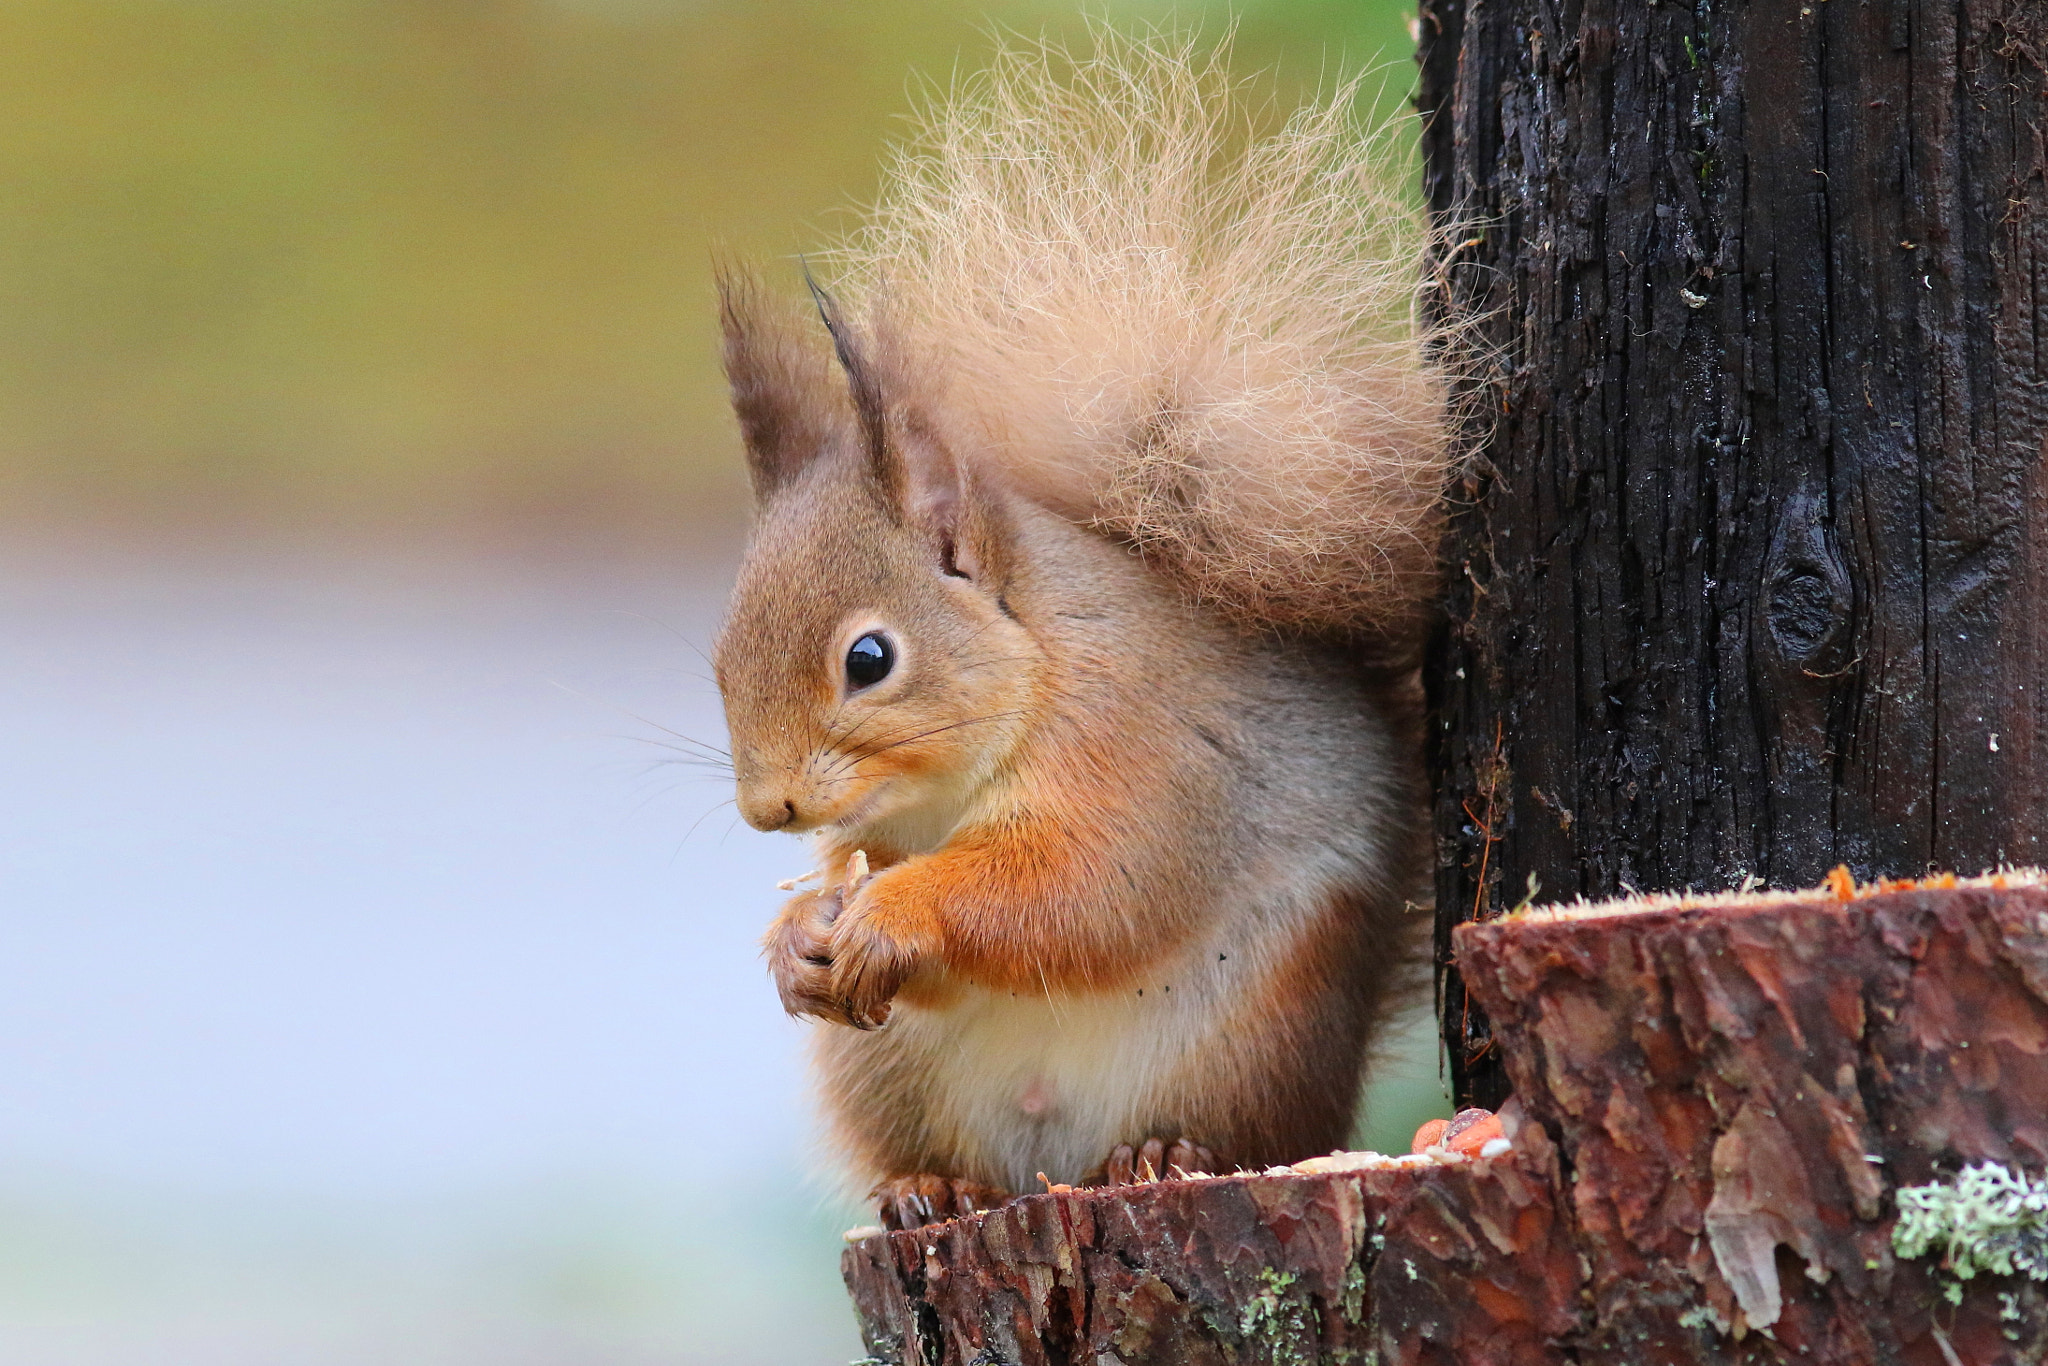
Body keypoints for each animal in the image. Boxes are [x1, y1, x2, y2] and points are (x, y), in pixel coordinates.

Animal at [710, 31, 1454, 1231]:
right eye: (720, 660)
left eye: (869, 659)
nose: (767, 809)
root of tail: (1045, 1162)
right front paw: (795, 940)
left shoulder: (1141, 752)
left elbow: (1078, 891)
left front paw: (893, 910)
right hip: (885, 1071)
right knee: (931, 1153)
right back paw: (928, 1188)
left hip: (1257, 1032)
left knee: (1237, 1132)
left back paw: (1157, 1157)